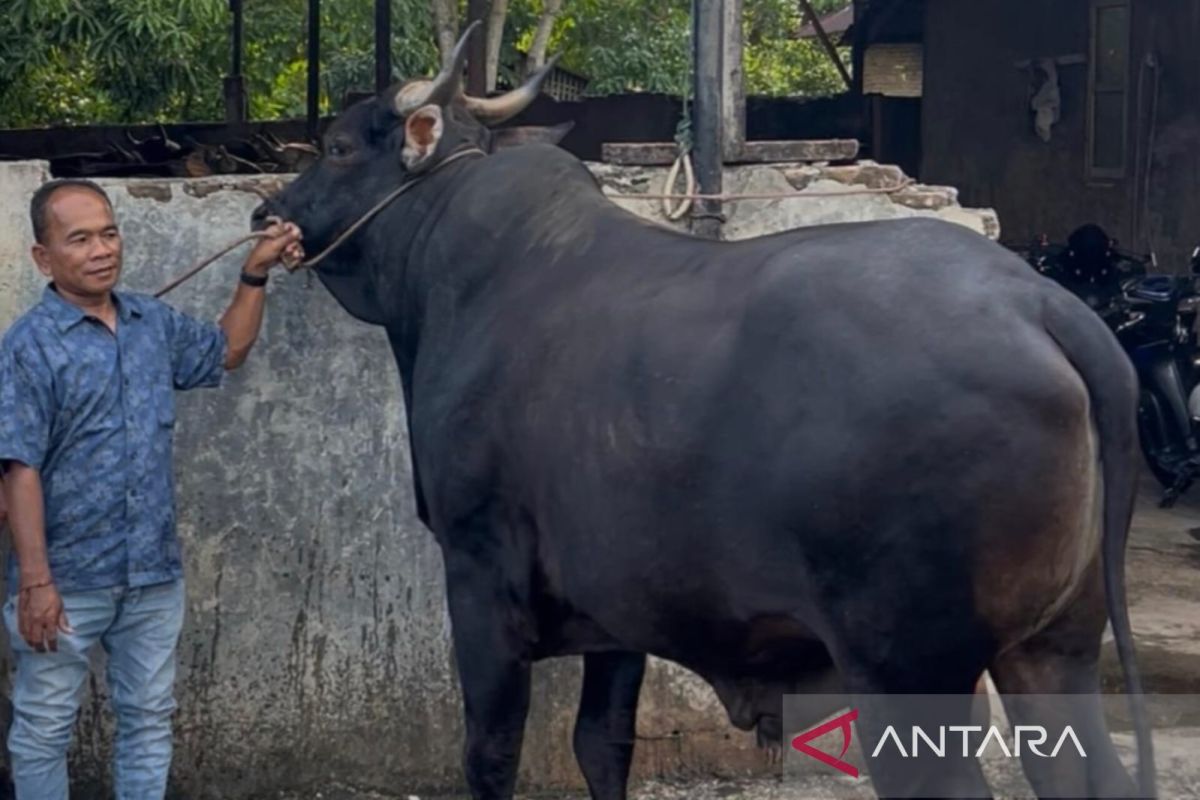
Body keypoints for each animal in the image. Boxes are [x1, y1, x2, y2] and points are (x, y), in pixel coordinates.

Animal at [255, 24, 1155, 800]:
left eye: (339, 147)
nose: (266, 213)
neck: (458, 268)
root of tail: (1040, 302)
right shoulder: (613, 612)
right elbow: (600, 745)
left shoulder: (480, 574)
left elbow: (490, 753)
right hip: (1056, 649)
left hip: (906, 666)